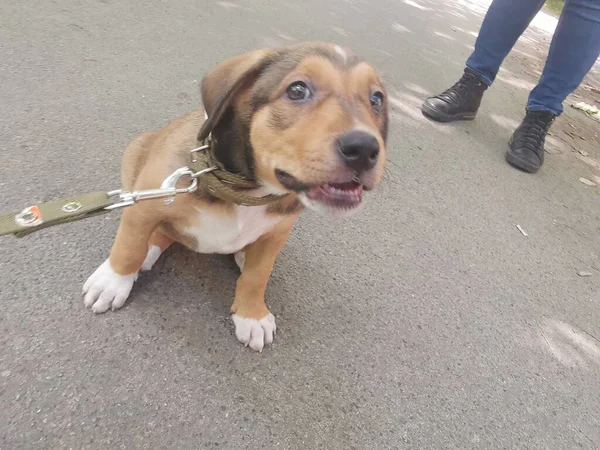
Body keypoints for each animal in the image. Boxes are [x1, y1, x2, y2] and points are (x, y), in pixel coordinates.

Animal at [82, 42, 390, 352]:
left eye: (376, 99)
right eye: (297, 90)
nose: (364, 149)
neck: (248, 191)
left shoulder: (278, 233)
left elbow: (257, 276)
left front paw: (252, 315)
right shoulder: (145, 204)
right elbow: (129, 246)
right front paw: (113, 282)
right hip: (136, 152)